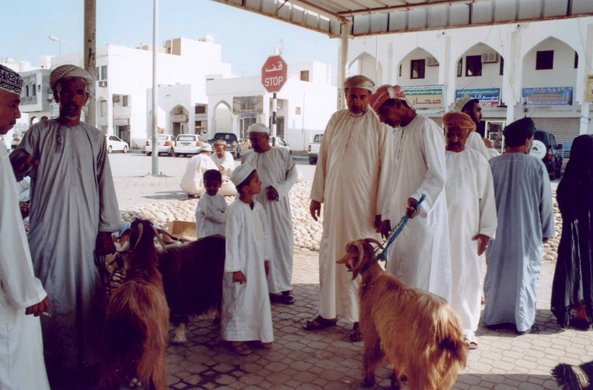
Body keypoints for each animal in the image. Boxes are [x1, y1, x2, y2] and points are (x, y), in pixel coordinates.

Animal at [338, 238, 468, 390]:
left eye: (348, 249)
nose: (346, 263)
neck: (374, 279)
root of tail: (447, 327)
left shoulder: (372, 327)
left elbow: (371, 353)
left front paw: (368, 380)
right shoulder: (397, 340)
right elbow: (397, 363)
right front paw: (396, 382)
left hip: (423, 364)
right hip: (446, 369)